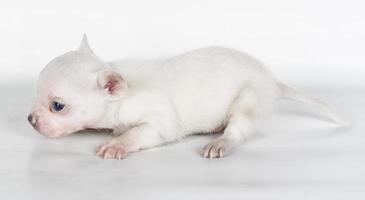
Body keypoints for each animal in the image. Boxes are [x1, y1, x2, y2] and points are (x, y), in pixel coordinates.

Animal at [27, 34, 346, 159]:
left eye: (57, 106)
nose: (30, 119)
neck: (124, 94)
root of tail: (273, 81)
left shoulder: (158, 124)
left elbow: (137, 133)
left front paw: (117, 144)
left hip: (249, 97)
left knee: (239, 129)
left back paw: (221, 142)